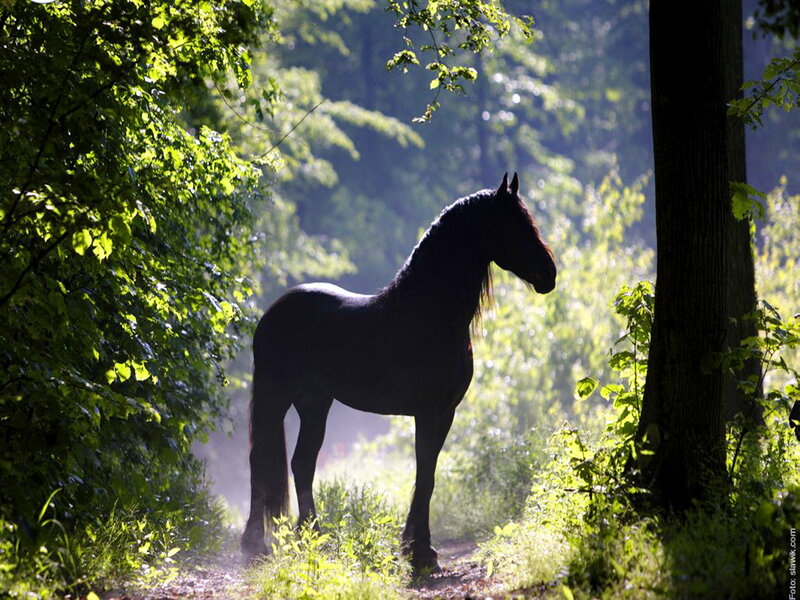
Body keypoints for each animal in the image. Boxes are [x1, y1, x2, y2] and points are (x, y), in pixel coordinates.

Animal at [241, 173, 557, 572]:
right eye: (513, 225)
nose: (550, 274)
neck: (428, 313)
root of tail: (273, 311)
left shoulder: (445, 413)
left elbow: (428, 475)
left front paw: (417, 548)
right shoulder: (428, 412)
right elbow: (425, 476)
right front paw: (421, 554)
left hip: (314, 405)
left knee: (302, 464)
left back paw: (312, 539)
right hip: (275, 397)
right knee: (261, 461)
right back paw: (256, 545)